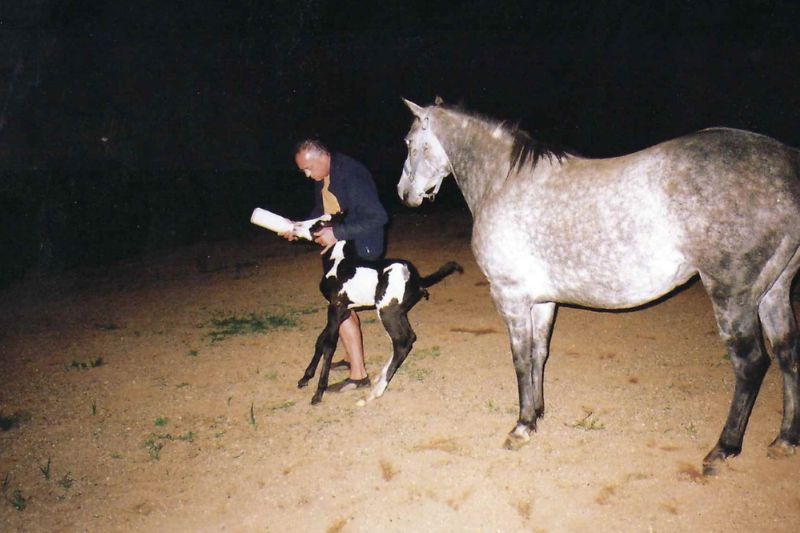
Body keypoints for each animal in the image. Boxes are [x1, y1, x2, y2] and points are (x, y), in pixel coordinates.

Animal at [397, 98, 800, 475]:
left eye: (410, 143)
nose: (404, 194)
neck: (504, 181)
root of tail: (787, 163)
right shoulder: (541, 301)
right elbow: (539, 354)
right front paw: (538, 413)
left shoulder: (510, 296)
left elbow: (520, 358)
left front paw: (522, 426)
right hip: (774, 292)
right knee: (786, 353)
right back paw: (785, 439)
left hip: (732, 296)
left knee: (750, 364)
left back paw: (724, 448)